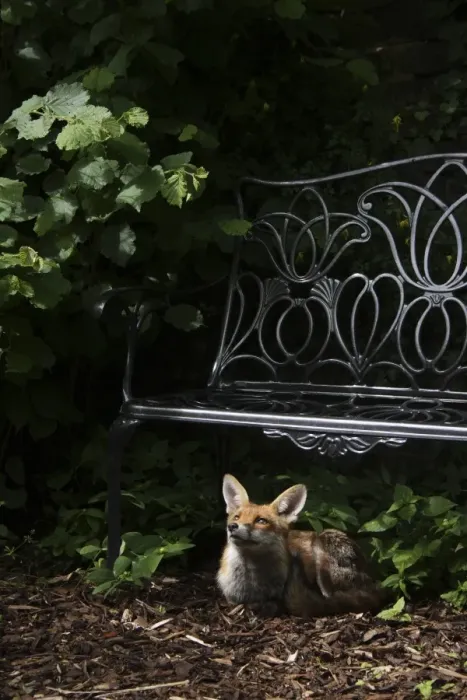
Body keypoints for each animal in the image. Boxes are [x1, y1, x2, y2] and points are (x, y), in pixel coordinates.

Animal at [217, 474, 385, 618]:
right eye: (237, 517)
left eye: (261, 521)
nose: (232, 526)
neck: (251, 585)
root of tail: (373, 579)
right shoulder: (231, 597)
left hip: (324, 542)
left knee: (328, 598)